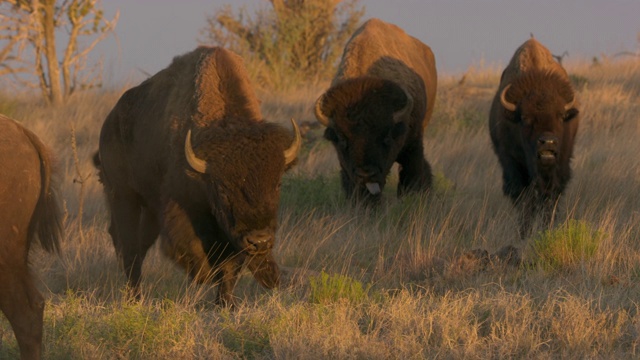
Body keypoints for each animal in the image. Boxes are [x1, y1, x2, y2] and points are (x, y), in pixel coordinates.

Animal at [96, 46, 302, 306]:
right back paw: (135, 298)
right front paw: (205, 277)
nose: (260, 240)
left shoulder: (231, 234)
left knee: (138, 245)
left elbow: (230, 266)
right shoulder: (182, 209)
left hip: (149, 210)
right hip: (123, 196)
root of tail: (109, 122)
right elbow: (193, 249)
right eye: (222, 189)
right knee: (129, 247)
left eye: (277, 184)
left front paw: (225, 304)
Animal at [490, 38, 580, 238]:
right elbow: (525, 203)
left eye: (560, 116)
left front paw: (546, 230)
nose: (548, 142)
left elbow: (549, 201)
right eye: (525, 118)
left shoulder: (558, 169)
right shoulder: (514, 166)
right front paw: (524, 234)